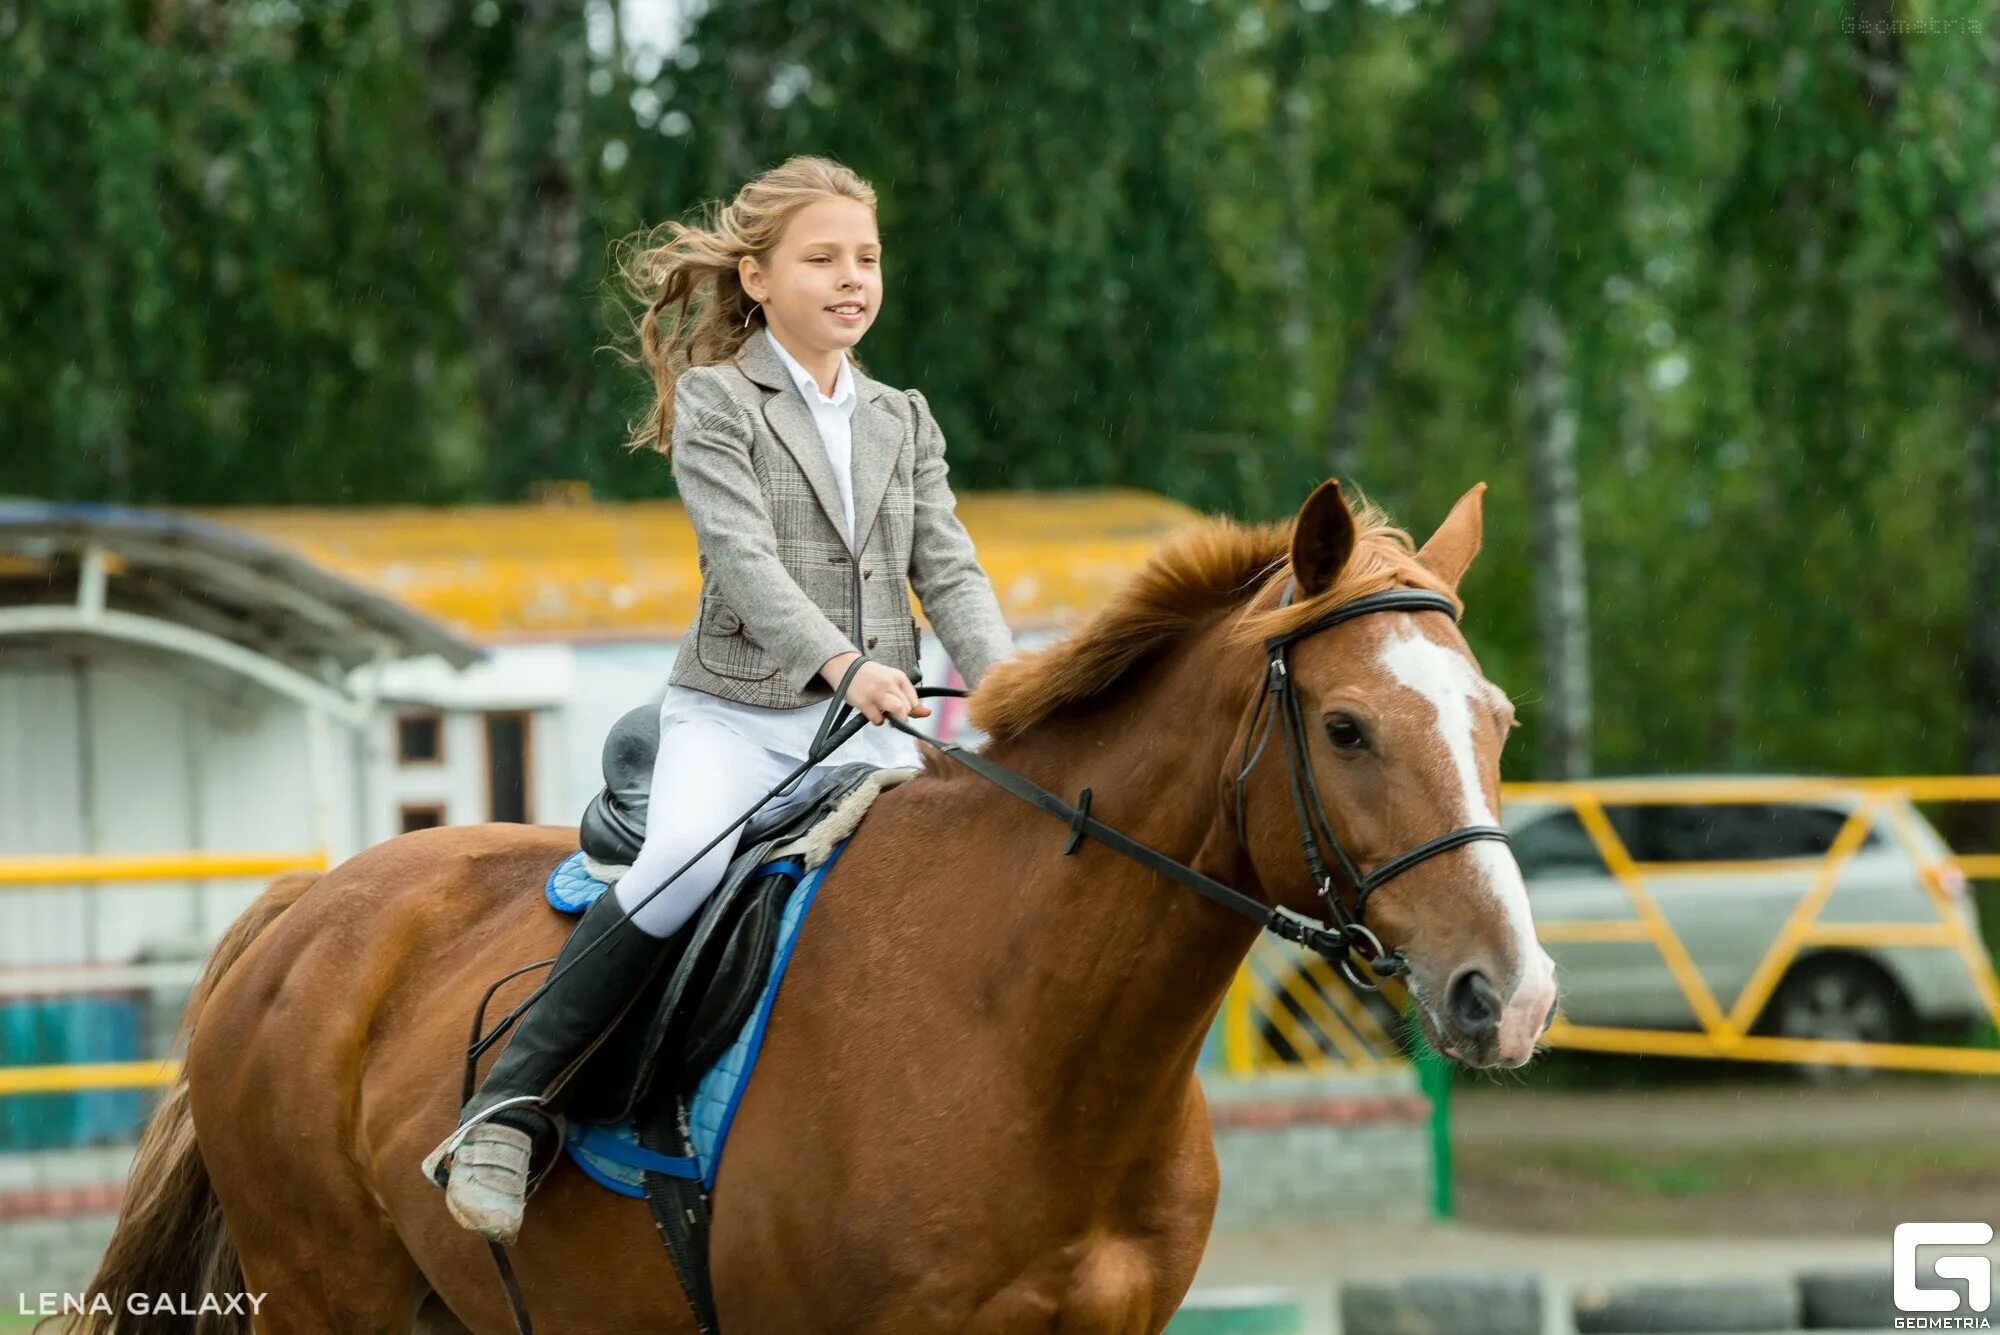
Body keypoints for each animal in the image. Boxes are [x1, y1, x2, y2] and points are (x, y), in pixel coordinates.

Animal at [70, 473, 1552, 1327]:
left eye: (1496, 719)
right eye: (1349, 728)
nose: (1514, 993)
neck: (1035, 1041)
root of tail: (308, 909)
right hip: (330, 1297)